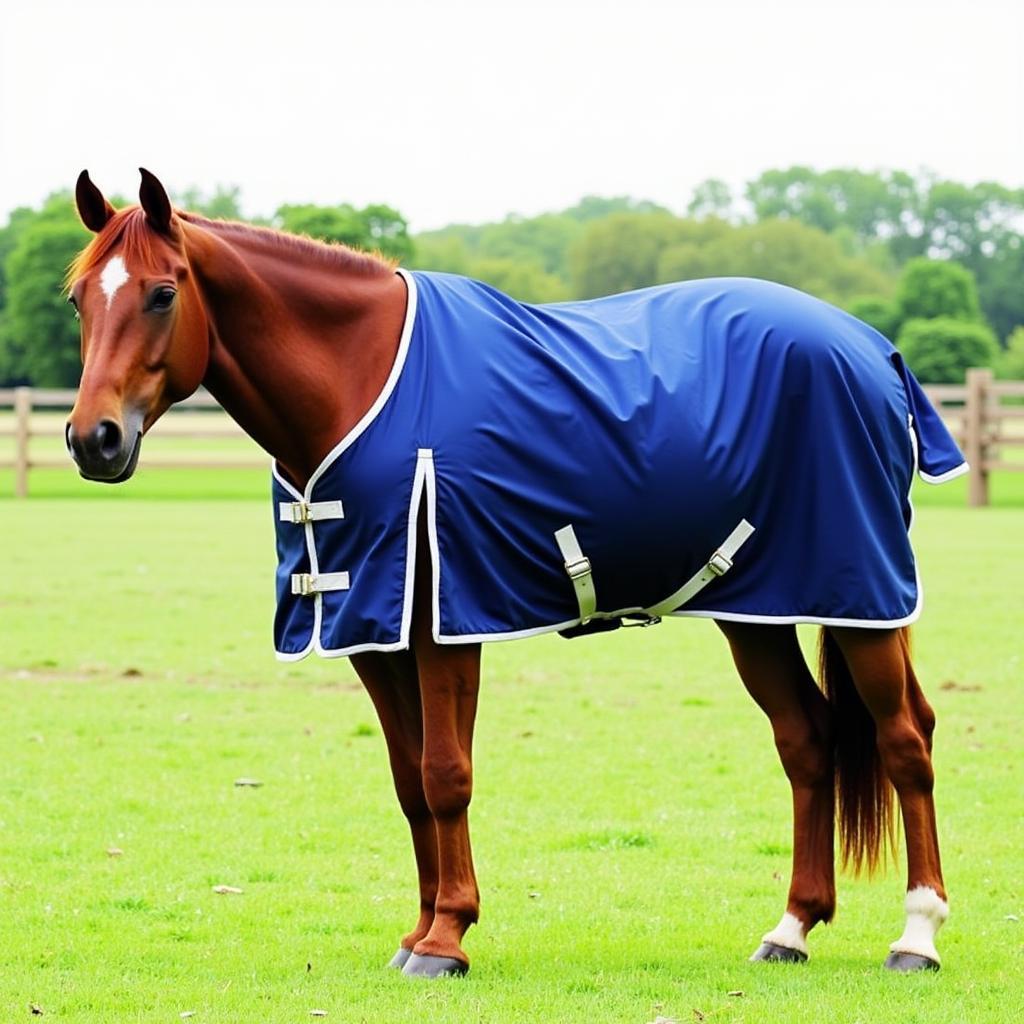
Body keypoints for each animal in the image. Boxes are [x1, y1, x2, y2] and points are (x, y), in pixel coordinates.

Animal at [64, 167, 958, 974]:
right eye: (79, 300)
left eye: (161, 294)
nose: (92, 439)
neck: (359, 379)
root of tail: (875, 350)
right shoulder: (372, 630)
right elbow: (407, 781)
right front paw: (416, 931)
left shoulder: (444, 622)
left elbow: (445, 774)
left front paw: (447, 939)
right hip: (754, 609)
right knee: (807, 740)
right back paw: (791, 929)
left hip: (859, 601)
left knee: (905, 737)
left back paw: (916, 936)